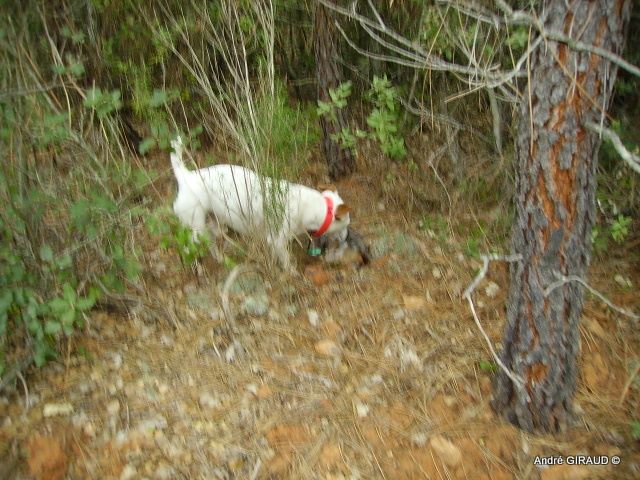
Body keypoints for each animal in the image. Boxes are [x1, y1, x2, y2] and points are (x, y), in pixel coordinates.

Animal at [170, 137, 350, 270]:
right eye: (346, 224)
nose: (347, 237)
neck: (310, 205)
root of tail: (185, 176)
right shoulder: (277, 240)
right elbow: (286, 260)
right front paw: (291, 272)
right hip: (195, 227)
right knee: (187, 249)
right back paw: (195, 268)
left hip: (214, 224)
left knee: (211, 243)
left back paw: (220, 258)